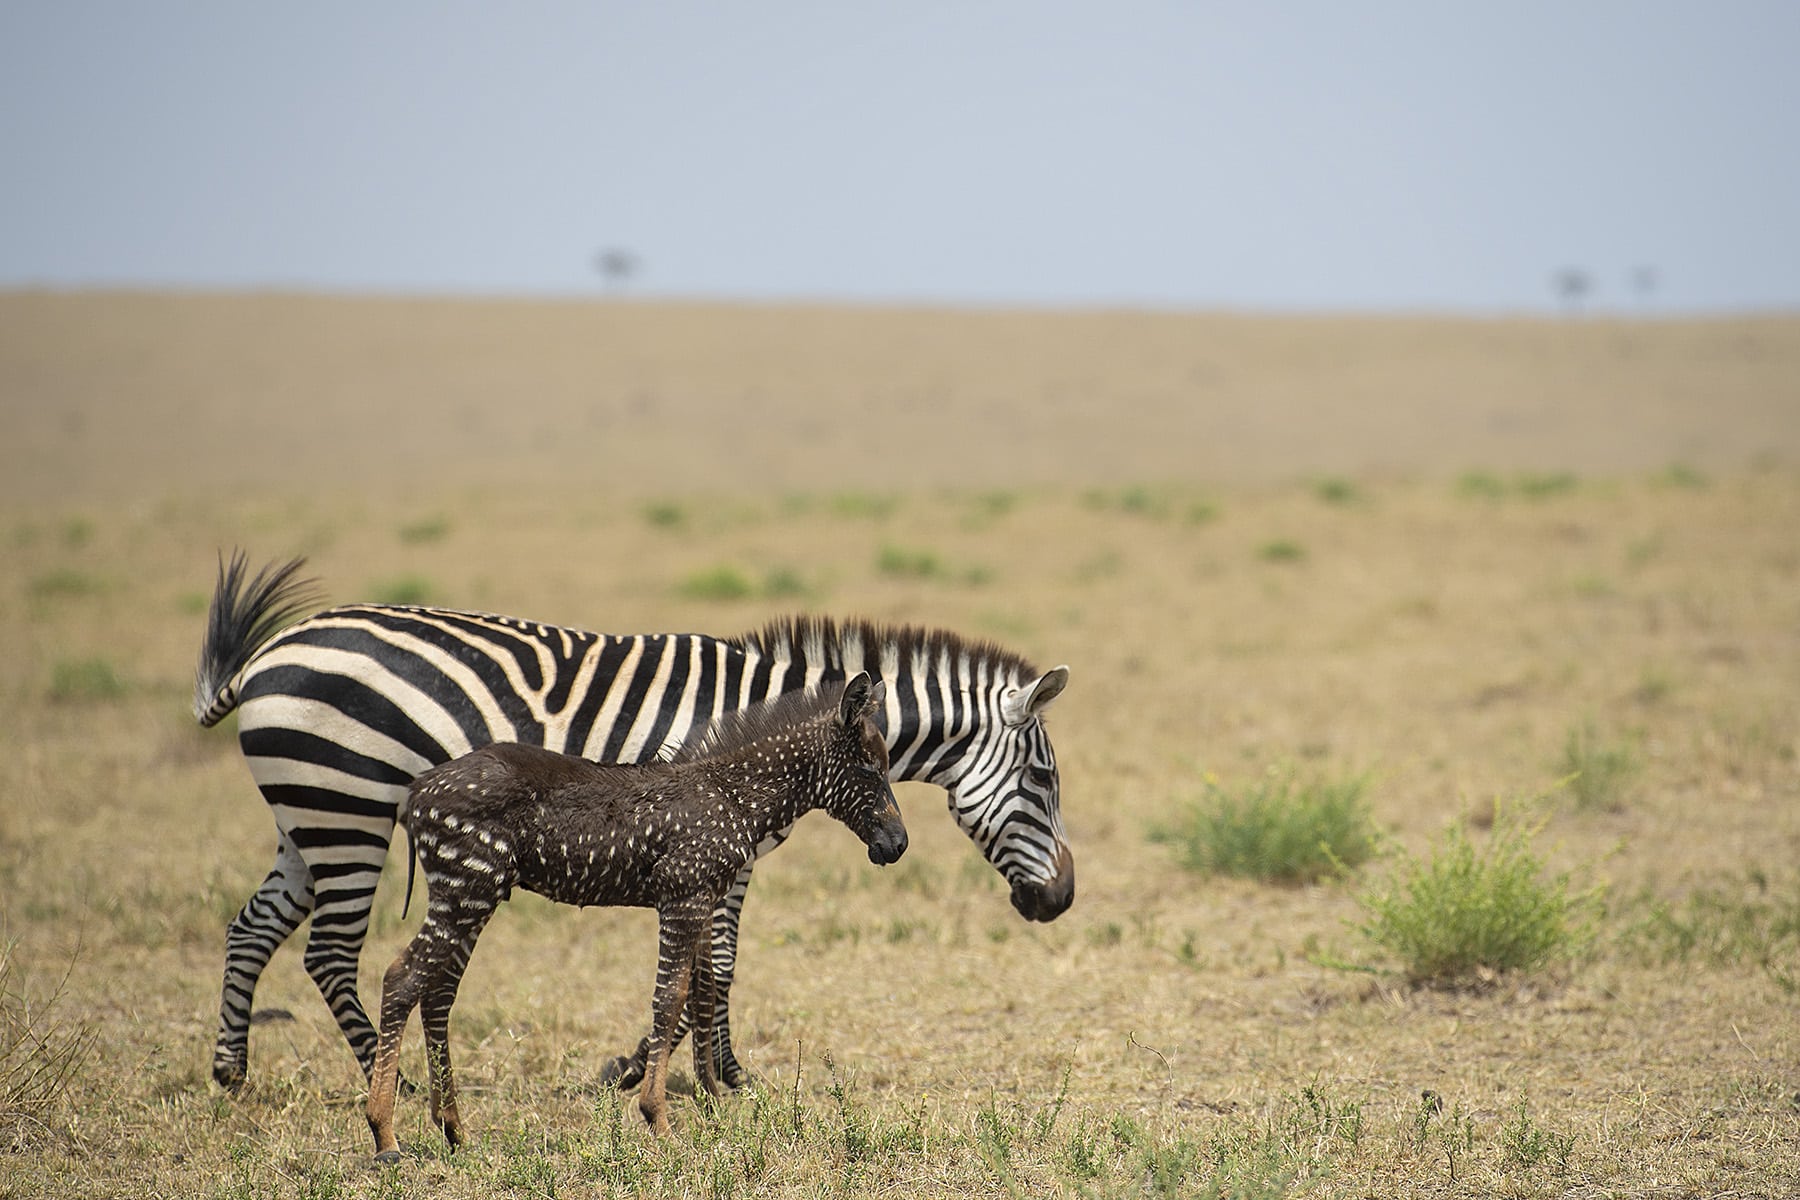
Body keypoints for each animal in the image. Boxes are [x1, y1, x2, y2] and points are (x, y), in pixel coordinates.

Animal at [197, 557, 1065, 1093]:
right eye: (1045, 780)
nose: (1059, 903)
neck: (769, 727)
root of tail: (265, 657)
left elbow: (702, 966)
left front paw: (666, 1067)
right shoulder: (722, 852)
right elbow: (717, 965)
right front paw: (716, 1076)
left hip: (309, 812)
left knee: (253, 927)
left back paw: (232, 1072)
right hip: (347, 803)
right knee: (330, 952)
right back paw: (397, 1083)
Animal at [365, 672, 900, 1158]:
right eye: (869, 768)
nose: (898, 845)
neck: (735, 795)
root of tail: (417, 791)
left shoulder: (702, 900)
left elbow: (702, 995)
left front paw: (711, 1106)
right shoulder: (682, 899)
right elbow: (669, 1000)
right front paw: (658, 1118)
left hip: (471, 897)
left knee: (437, 993)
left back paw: (454, 1129)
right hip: (465, 892)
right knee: (402, 978)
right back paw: (385, 1134)